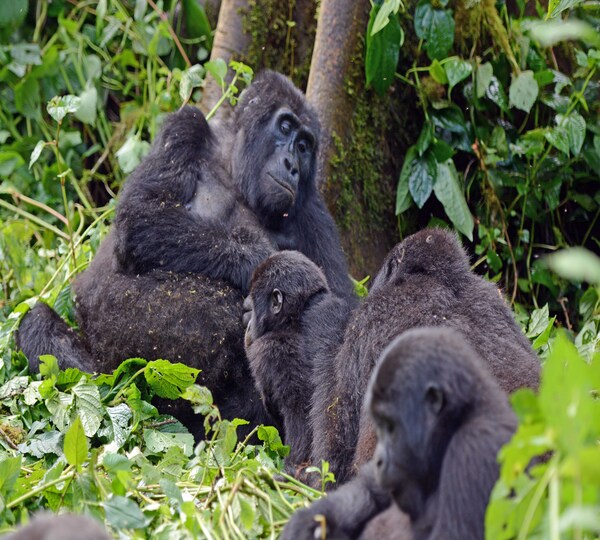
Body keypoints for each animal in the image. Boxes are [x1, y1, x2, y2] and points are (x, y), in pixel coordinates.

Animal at [16, 70, 356, 434]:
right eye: (285, 126)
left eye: (305, 146)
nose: (293, 165)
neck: (234, 169)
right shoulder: (186, 125)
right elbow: (143, 214)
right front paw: (255, 259)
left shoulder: (313, 211)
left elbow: (334, 317)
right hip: (110, 376)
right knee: (40, 325)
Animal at [282, 330, 516, 540]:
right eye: (381, 427)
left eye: (391, 427)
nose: (379, 460)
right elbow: (372, 488)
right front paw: (312, 519)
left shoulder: (475, 447)